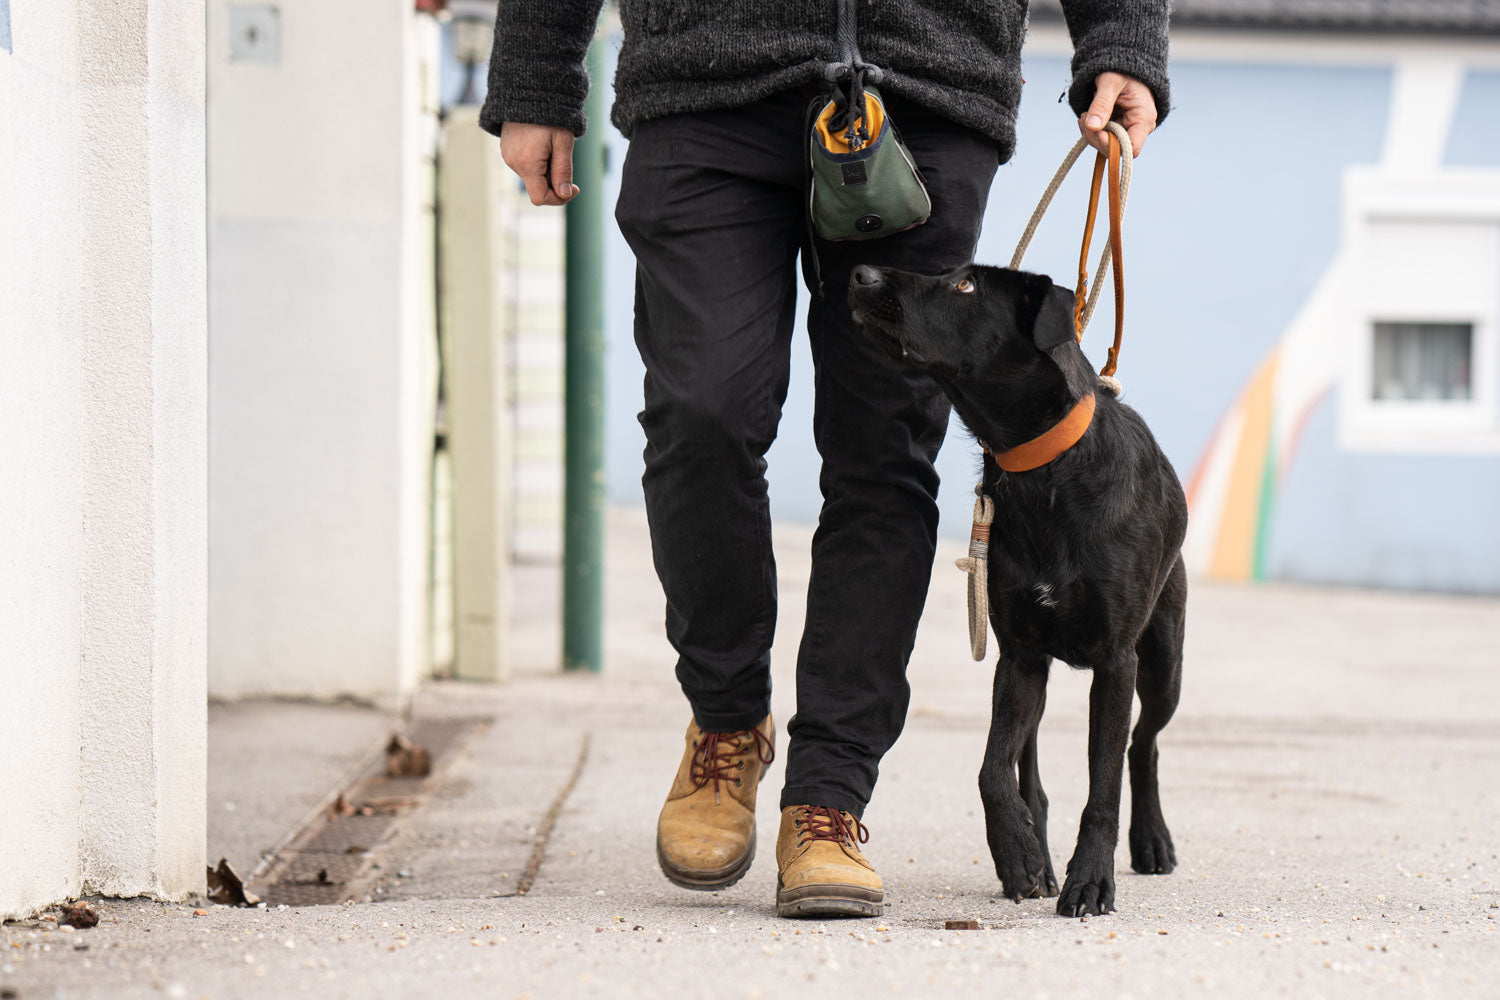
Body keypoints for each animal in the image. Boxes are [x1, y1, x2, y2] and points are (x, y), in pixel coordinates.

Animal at [852, 262, 1188, 917]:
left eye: (965, 287)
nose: (861, 273)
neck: (1045, 470)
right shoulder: (1019, 657)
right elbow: (992, 768)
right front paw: (1017, 853)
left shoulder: (1117, 661)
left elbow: (1103, 784)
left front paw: (1091, 879)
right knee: (1029, 770)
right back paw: (1038, 851)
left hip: (1164, 661)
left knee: (1144, 743)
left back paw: (1151, 839)